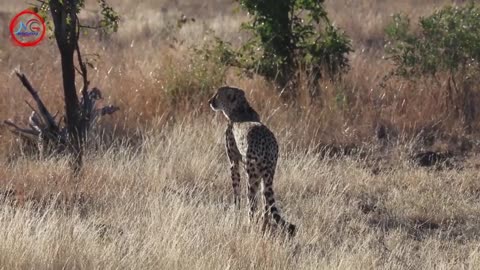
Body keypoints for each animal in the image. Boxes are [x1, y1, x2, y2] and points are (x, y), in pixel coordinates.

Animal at [209, 86, 296, 236]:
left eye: (217, 95)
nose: (210, 102)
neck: (239, 107)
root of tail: (269, 145)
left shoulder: (234, 163)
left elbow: (236, 190)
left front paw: (236, 211)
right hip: (267, 175)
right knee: (266, 200)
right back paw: (264, 224)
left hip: (253, 176)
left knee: (252, 203)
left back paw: (250, 224)